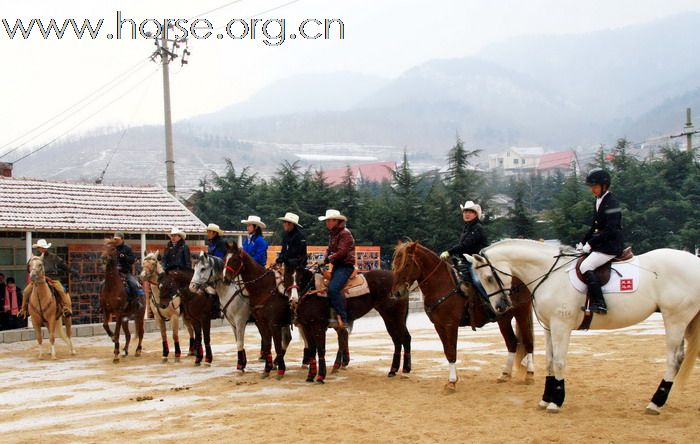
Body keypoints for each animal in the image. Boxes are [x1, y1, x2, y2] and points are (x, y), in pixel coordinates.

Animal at [223, 243, 292, 378]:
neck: (264, 288)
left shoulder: (273, 323)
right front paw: (266, 369)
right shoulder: (261, 322)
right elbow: (267, 343)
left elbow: (276, 344)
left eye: (235, 259)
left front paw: (281, 370)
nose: (225, 279)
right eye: (225, 259)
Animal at [392, 241, 532, 390]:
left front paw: (452, 382)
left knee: (528, 342)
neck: (441, 284)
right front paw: (453, 379)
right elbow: (447, 351)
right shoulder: (439, 326)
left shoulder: (450, 325)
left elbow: (452, 351)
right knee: (511, 342)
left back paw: (529, 374)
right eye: (395, 263)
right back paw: (505, 374)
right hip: (503, 319)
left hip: (522, 314)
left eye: (407, 264)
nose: (397, 292)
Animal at [468, 239, 700, 412]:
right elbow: (550, 361)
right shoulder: (549, 327)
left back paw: (655, 403)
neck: (549, 274)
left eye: (488, 277)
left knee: (672, 360)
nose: (500, 307)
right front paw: (545, 398)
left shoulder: (561, 325)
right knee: (679, 358)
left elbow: (559, 361)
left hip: (675, 319)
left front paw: (556, 401)